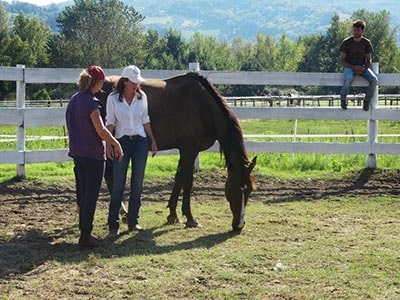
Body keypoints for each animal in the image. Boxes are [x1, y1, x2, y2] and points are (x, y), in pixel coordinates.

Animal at [98, 71, 258, 231]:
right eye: (234, 188)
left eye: (250, 190)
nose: (239, 225)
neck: (201, 106)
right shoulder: (189, 150)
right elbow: (187, 182)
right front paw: (190, 217)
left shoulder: (189, 151)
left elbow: (180, 178)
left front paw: (173, 215)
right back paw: (123, 213)